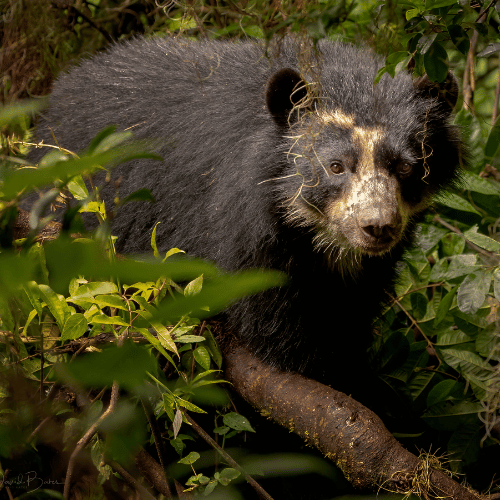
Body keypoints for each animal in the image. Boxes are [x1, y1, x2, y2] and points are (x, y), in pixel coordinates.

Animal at [31, 37, 460, 392]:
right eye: (336, 166)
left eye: (406, 167)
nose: (377, 227)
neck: (317, 236)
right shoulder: (240, 227)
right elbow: (271, 323)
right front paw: (328, 375)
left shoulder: (365, 270)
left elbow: (352, 312)